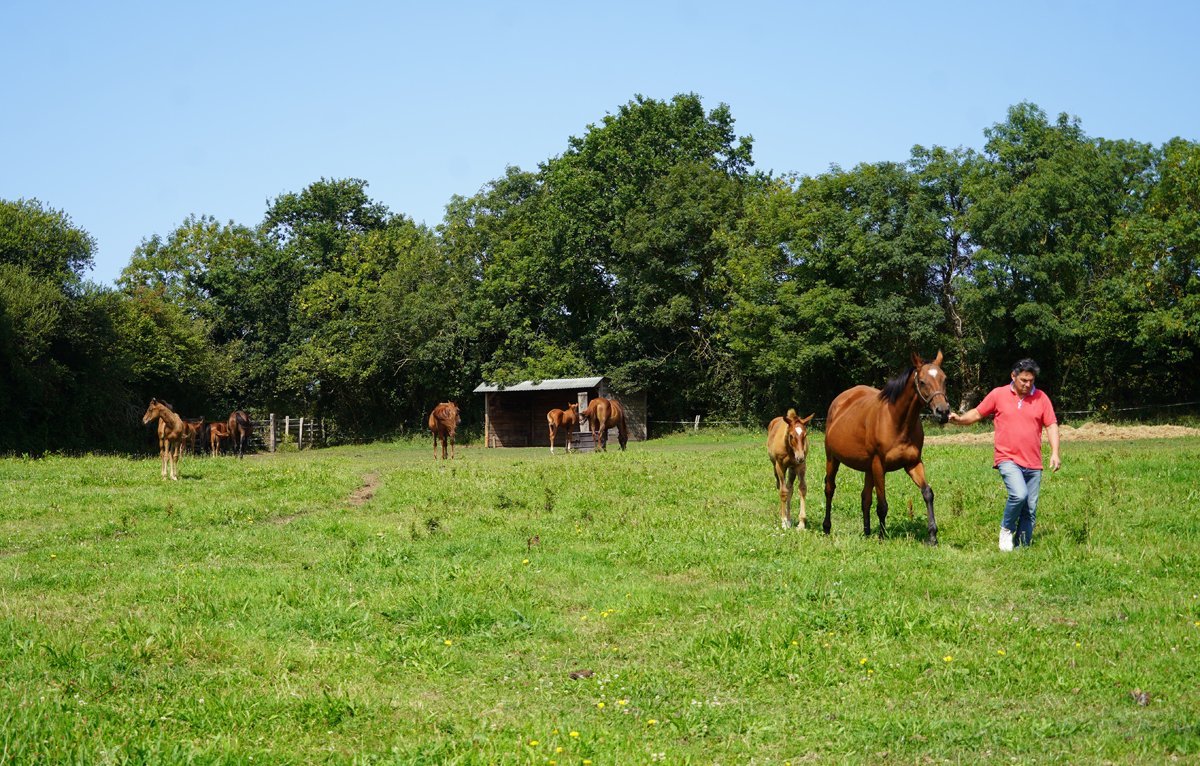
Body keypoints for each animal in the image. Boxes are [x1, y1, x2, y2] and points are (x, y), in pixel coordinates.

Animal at [823, 351, 951, 546]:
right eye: (922, 382)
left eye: (944, 379)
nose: (943, 412)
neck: (898, 422)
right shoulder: (879, 466)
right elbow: (882, 504)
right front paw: (882, 537)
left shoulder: (913, 464)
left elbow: (927, 493)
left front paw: (932, 536)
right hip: (833, 459)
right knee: (830, 489)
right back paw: (827, 528)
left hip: (867, 468)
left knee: (865, 498)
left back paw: (867, 532)